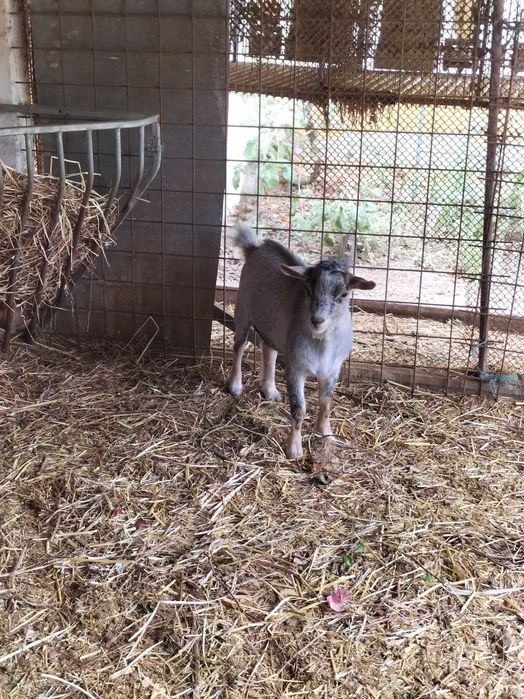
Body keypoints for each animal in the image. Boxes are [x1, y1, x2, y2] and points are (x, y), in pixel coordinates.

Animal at [226, 224, 376, 459]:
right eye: (307, 289)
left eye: (343, 295)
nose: (317, 320)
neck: (322, 345)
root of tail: (255, 248)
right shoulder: (296, 367)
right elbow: (299, 408)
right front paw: (294, 449)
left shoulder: (333, 370)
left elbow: (326, 404)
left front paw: (327, 435)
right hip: (242, 307)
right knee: (238, 346)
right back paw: (235, 386)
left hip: (273, 326)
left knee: (268, 349)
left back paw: (270, 391)